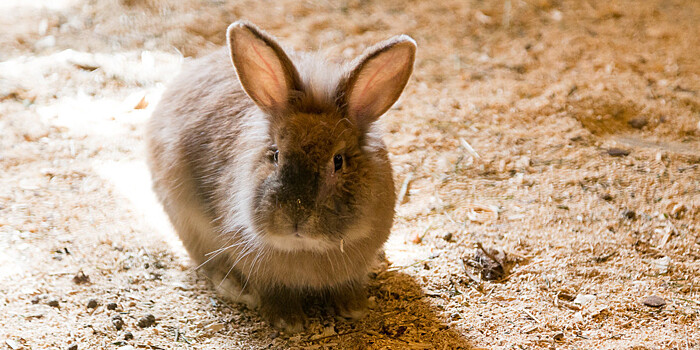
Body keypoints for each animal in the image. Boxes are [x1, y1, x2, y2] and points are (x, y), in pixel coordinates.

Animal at [144, 20, 412, 332]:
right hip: (186, 220)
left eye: (338, 161)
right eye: (275, 154)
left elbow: (347, 287)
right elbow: (275, 293)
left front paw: (354, 309)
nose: (295, 218)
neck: (307, 249)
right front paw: (289, 322)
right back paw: (237, 288)